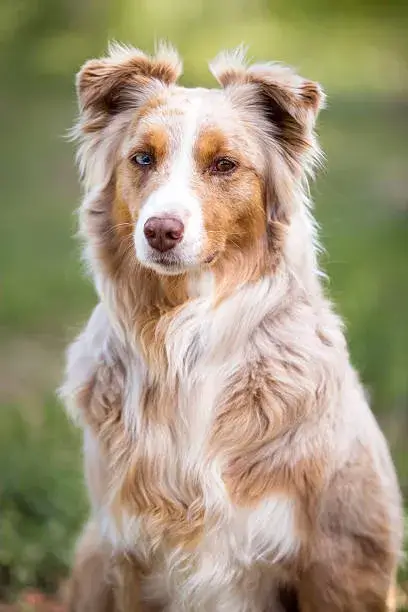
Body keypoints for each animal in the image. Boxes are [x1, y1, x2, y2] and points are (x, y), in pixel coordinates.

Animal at [59, 40, 402, 608]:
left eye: (224, 164)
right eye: (143, 158)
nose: (160, 230)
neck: (183, 338)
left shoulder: (337, 559)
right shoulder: (127, 550)